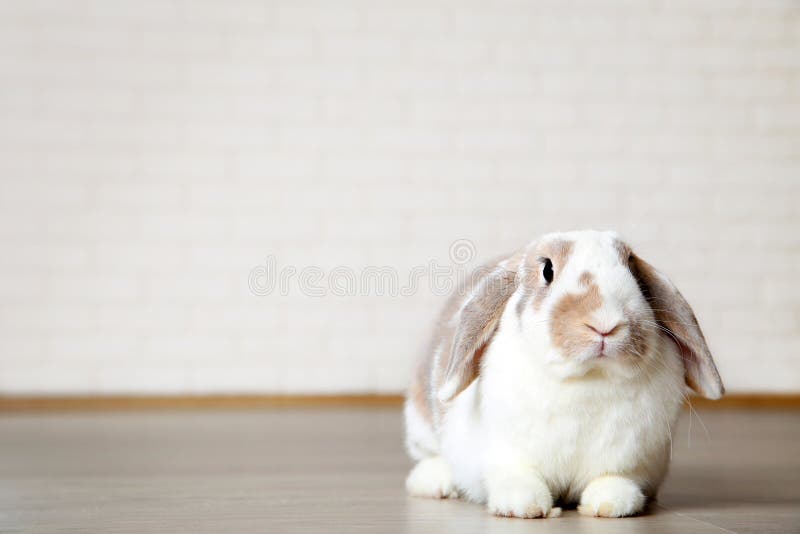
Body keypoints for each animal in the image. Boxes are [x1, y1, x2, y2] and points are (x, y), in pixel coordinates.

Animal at [404, 230, 723, 518]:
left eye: (632, 268)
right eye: (547, 270)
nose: (605, 324)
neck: (587, 379)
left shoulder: (632, 462)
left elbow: (615, 479)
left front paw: (612, 503)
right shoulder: (506, 454)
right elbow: (515, 475)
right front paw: (523, 505)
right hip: (420, 422)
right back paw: (436, 482)